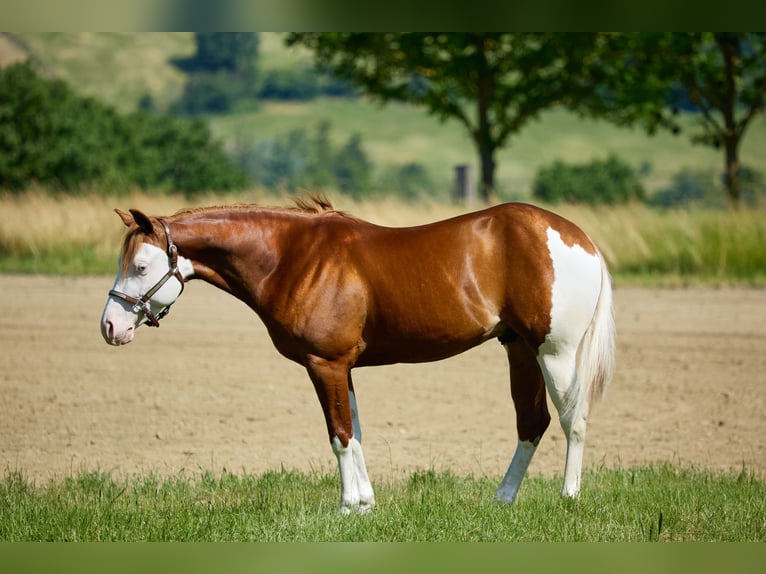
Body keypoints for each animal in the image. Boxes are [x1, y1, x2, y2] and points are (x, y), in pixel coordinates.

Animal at [100, 196, 615, 513]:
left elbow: (339, 435)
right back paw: (502, 499)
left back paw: (569, 496)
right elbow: (357, 431)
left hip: (555, 351)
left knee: (574, 419)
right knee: (532, 423)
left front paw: (348, 505)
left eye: (141, 266)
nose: (110, 327)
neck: (291, 257)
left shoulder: (324, 364)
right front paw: (366, 503)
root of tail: (579, 238)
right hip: (519, 349)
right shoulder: (343, 367)